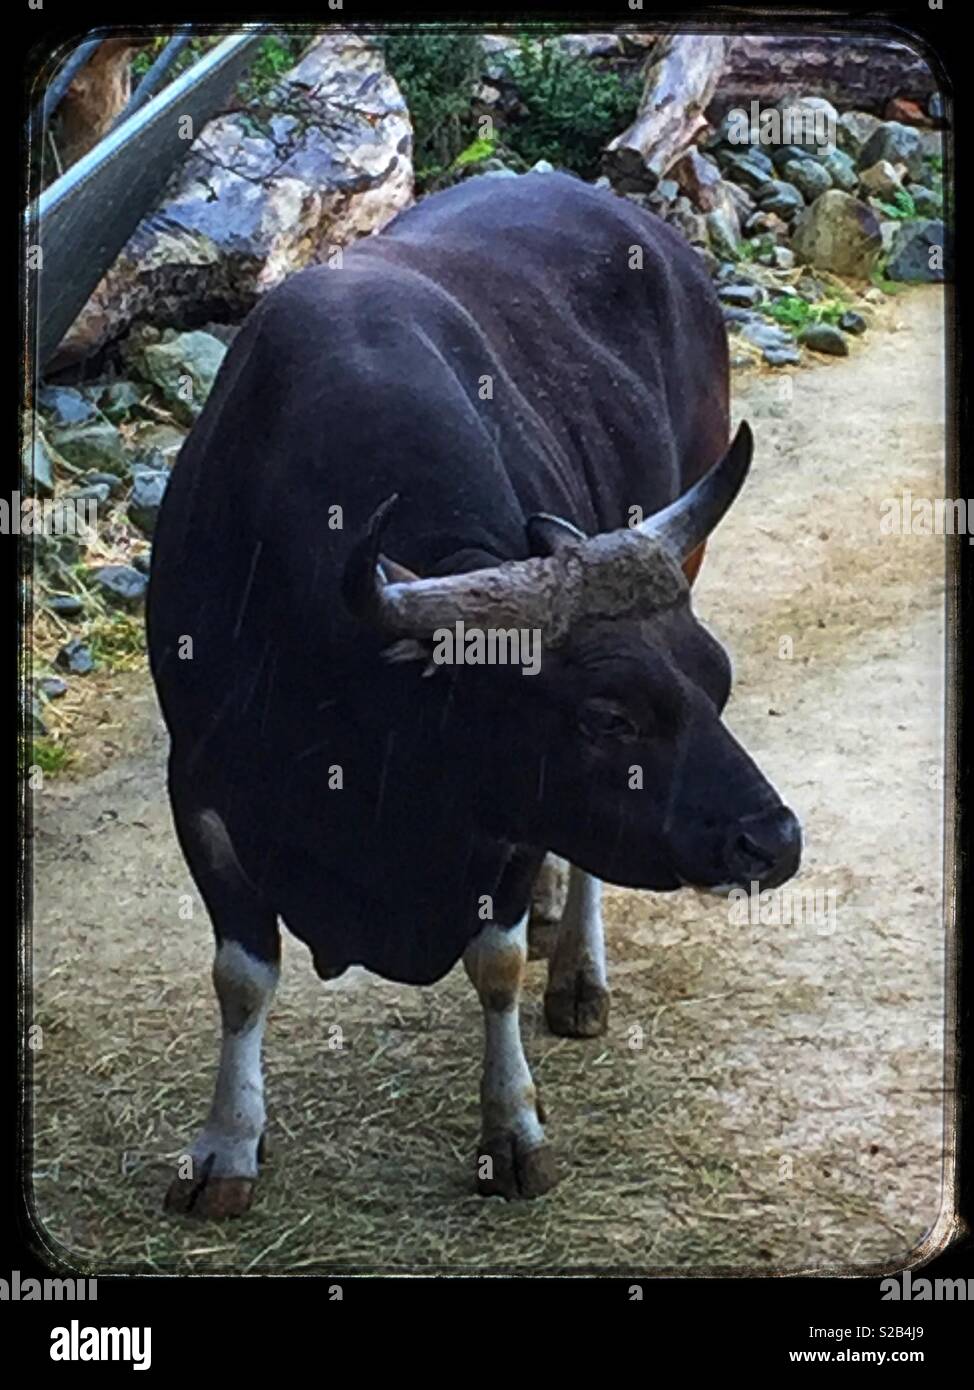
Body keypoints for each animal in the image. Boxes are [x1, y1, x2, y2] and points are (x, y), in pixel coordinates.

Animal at [146, 170, 800, 1217]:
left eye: (719, 680)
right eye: (606, 716)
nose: (774, 841)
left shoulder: (518, 807)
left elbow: (495, 963)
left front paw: (513, 1131)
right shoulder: (198, 789)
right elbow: (243, 974)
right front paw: (225, 1147)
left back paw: (576, 971)